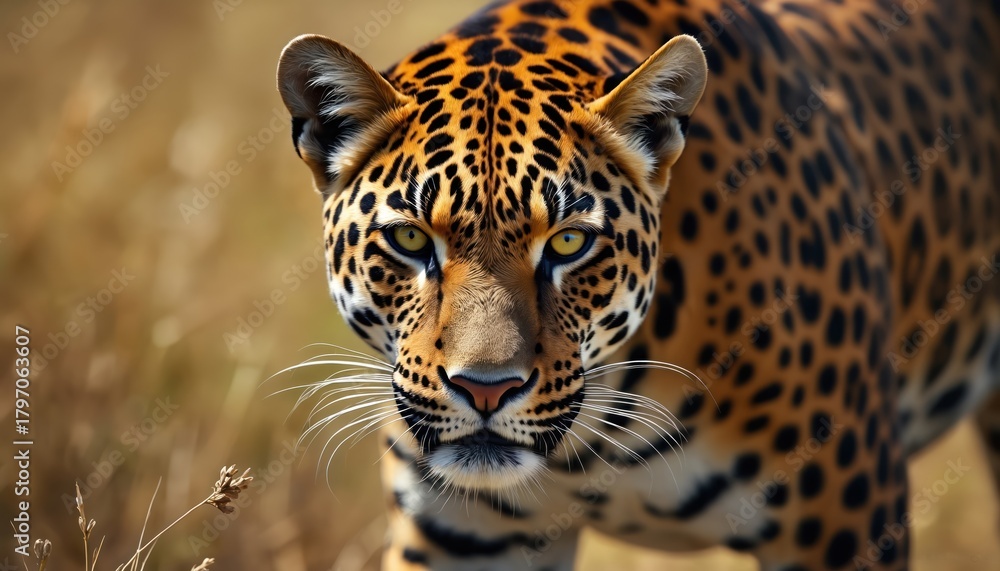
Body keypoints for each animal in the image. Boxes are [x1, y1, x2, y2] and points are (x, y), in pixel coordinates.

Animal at [275, 0, 1000, 569]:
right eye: (410, 240)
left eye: (569, 242)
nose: (487, 390)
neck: (595, 441)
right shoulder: (460, 541)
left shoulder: (847, 520)